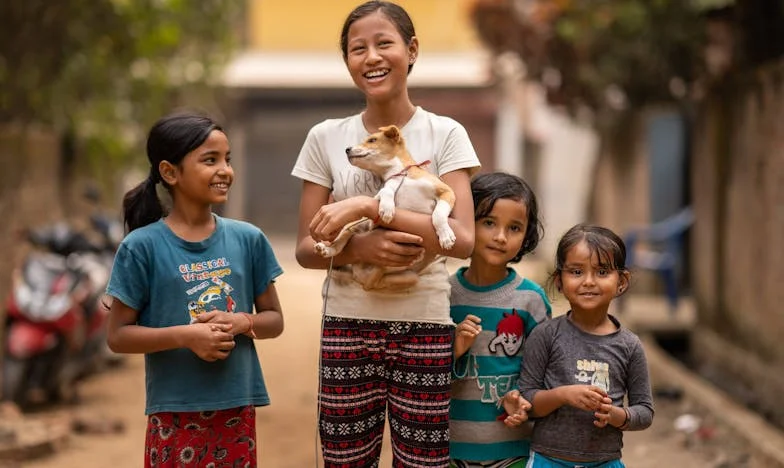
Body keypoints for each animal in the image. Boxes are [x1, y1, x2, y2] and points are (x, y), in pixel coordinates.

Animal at [316, 126, 456, 290]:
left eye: (372, 140)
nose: (347, 149)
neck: (401, 174)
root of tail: (361, 274)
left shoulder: (447, 192)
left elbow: (438, 215)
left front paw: (446, 236)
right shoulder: (384, 190)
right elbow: (386, 192)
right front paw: (387, 209)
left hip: (410, 277)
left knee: (375, 282)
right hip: (354, 227)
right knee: (340, 245)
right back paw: (326, 249)